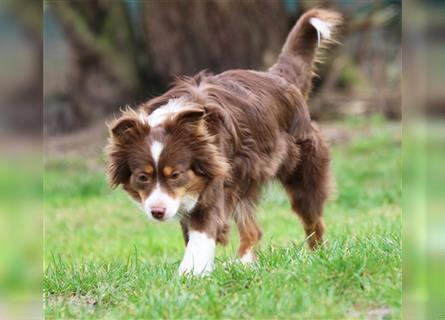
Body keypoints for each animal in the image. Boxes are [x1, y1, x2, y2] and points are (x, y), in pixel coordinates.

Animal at [106, 9, 342, 276]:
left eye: (175, 175)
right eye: (142, 177)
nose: (157, 212)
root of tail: (279, 77)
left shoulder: (215, 180)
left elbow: (203, 231)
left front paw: (190, 274)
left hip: (301, 167)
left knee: (312, 217)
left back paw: (315, 256)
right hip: (245, 182)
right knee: (253, 230)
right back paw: (243, 264)